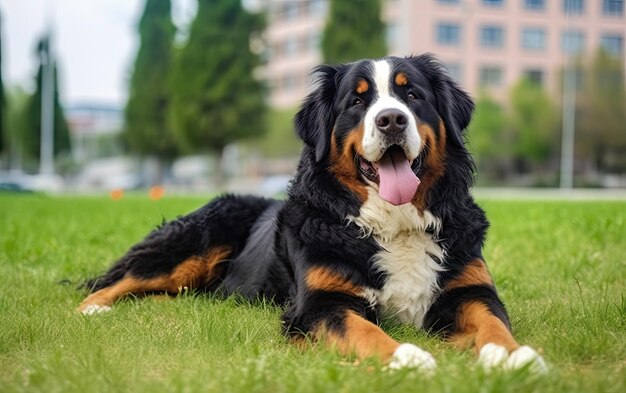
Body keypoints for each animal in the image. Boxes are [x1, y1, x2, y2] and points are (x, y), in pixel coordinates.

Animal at [79, 54, 544, 370]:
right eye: (357, 102)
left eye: (412, 95)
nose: (391, 120)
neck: (394, 226)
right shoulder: (320, 304)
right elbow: (365, 330)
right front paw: (408, 359)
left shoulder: (470, 289)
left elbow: (492, 322)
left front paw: (516, 357)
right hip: (194, 242)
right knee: (123, 279)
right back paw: (92, 310)